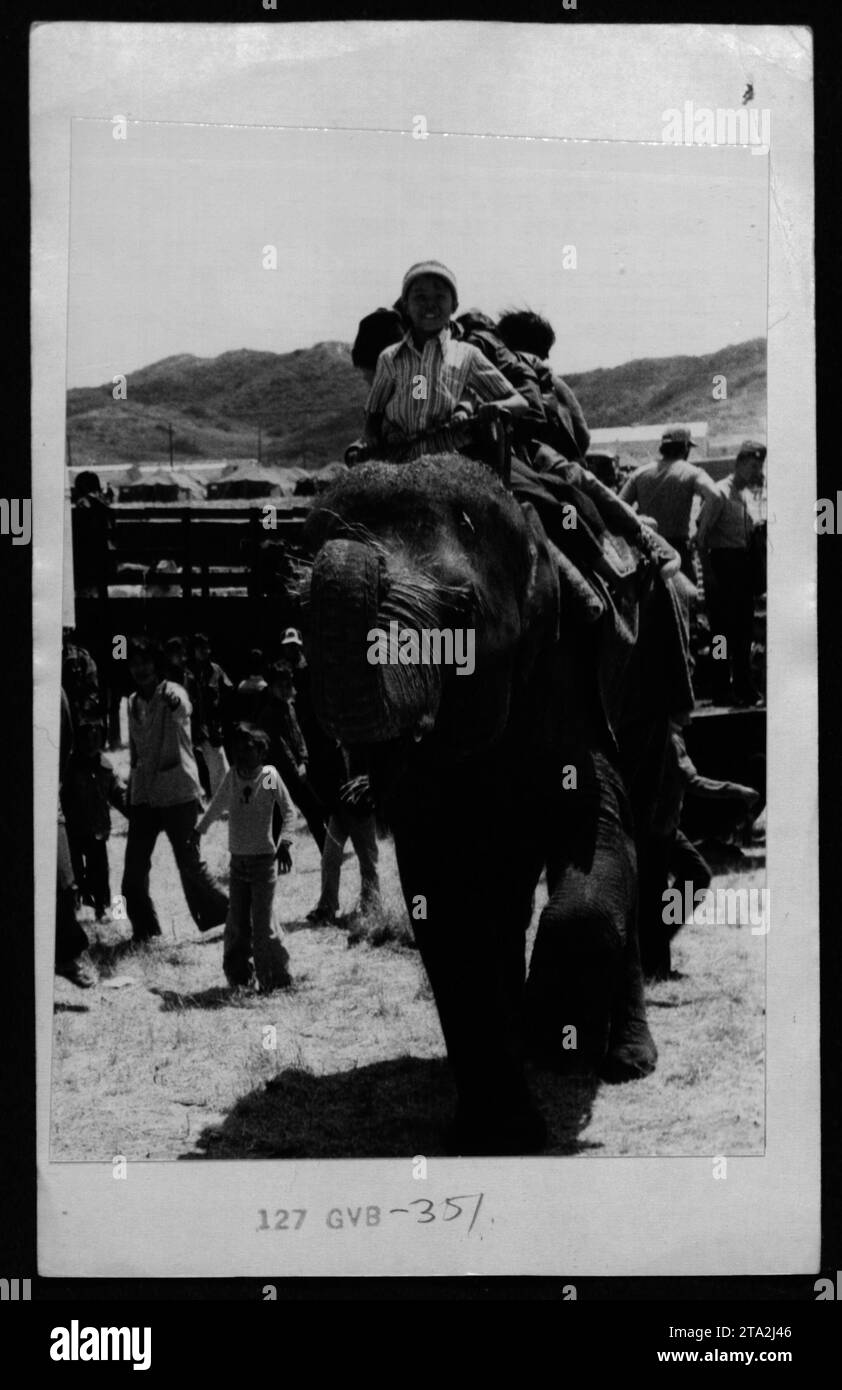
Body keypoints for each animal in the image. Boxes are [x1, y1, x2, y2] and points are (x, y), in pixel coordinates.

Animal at [300, 453, 689, 1150]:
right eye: (298, 607)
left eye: (461, 607)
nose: (343, 538)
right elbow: (444, 900)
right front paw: (501, 1135)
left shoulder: (569, 677)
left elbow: (596, 837)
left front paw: (549, 1033)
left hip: (650, 695)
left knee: (639, 841)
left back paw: (619, 1061)